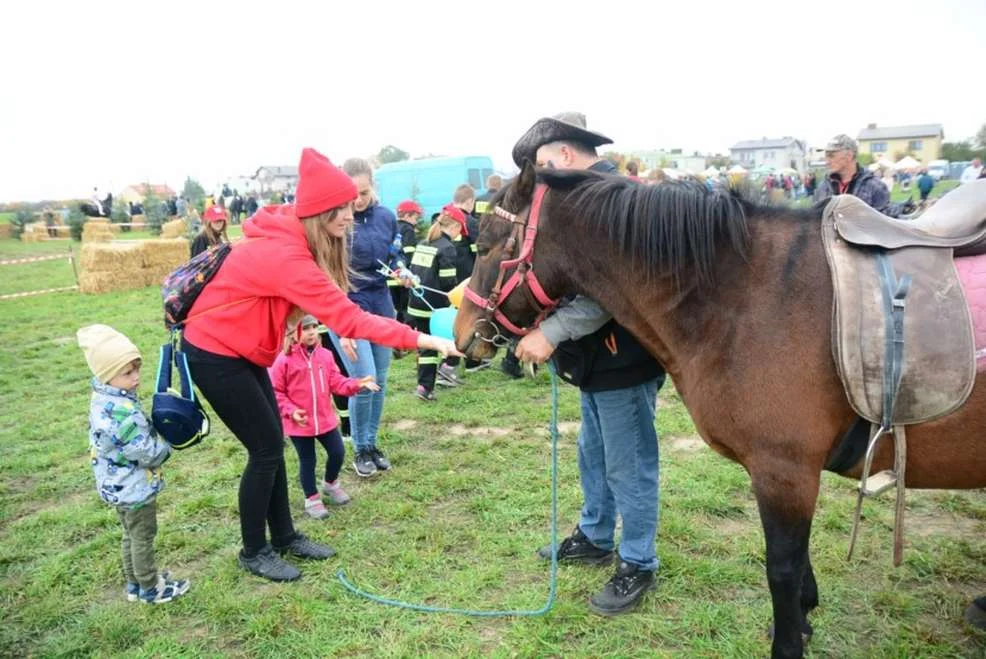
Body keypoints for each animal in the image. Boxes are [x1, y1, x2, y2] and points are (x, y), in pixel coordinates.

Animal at [458, 164, 984, 659]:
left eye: (483, 246)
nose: (462, 334)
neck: (751, 296)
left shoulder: (784, 471)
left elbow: (782, 568)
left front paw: (789, 642)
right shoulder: (791, 475)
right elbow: (799, 564)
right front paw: (804, 619)